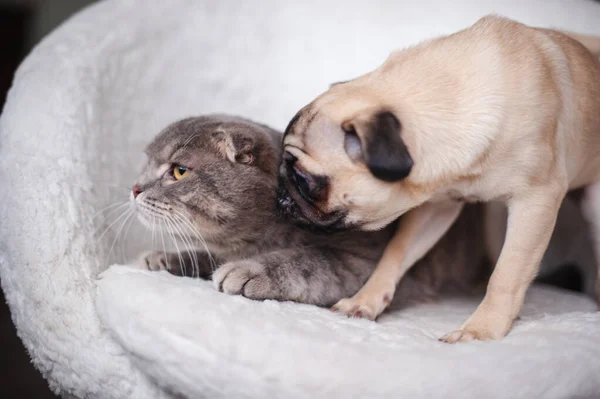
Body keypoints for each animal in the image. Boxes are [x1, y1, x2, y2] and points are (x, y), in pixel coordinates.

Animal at [129, 114, 490, 308]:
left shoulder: (363, 259)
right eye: (145, 164)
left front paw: (248, 271)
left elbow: (309, 262)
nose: (134, 188)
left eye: (179, 171)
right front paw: (165, 257)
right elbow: (205, 254)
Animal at [276, 14, 600, 342]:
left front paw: (481, 330)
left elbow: (508, 273)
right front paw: (365, 300)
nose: (280, 195)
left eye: (303, 180)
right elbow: (396, 253)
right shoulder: (437, 205)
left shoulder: (536, 200)